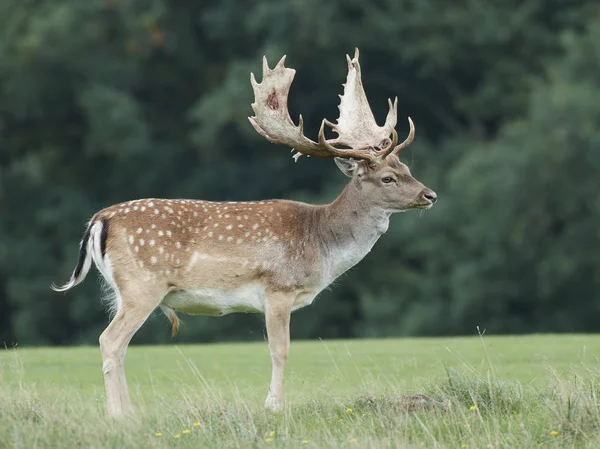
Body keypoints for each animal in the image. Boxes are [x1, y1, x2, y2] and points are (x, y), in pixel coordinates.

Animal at [51, 49, 436, 416]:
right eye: (387, 178)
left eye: (407, 168)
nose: (429, 195)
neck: (320, 244)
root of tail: (99, 220)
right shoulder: (278, 288)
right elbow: (280, 350)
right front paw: (274, 405)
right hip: (141, 285)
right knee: (110, 340)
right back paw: (119, 416)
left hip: (121, 291)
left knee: (118, 345)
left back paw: (130, 412)